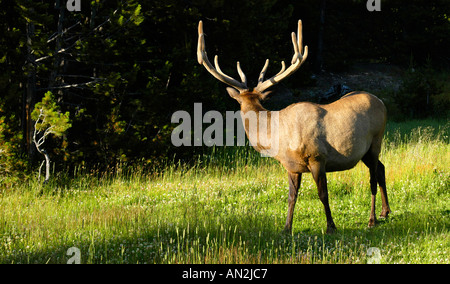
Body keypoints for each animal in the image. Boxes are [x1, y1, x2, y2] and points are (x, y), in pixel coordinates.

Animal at [197, 19, 390, 233]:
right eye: (242, 102)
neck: (278, 139)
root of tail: (381, 102)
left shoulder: (317, 157)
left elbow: (323, 194)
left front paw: (331, 226)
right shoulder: (291, 166)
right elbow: (291, 197)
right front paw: (287, 228)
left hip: (376, 140)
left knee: (373, 178)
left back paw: (372, 219)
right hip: (364, 152)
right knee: (381, 168)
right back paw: (385, 212)